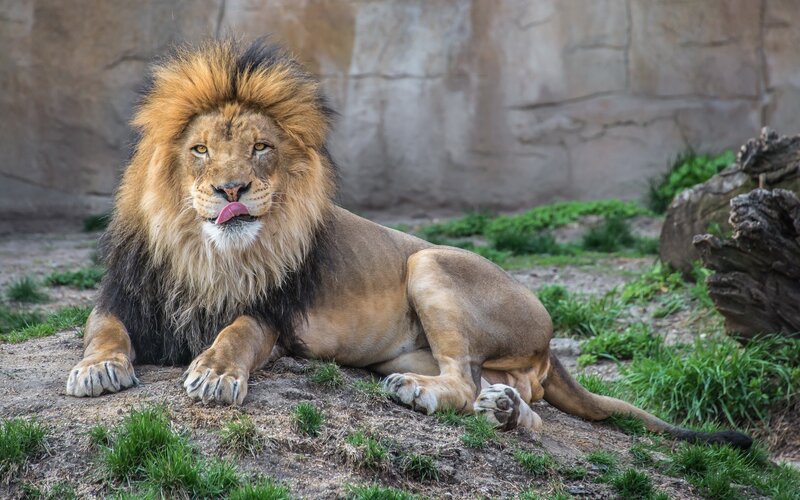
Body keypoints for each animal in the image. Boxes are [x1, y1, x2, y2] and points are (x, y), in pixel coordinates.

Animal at [65, 39, 751, 449]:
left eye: (260, 147)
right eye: (201, 149)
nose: (231, 188)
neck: (207, 251)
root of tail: (552, 339)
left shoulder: (272, 317)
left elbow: (236, 333)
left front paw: (212, 374)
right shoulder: (124, 295)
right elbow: (102, 331)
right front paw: (96, 370)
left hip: (428, 261)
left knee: (463, 383)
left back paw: (434, 399)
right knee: (510, 394)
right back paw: (505, 410)